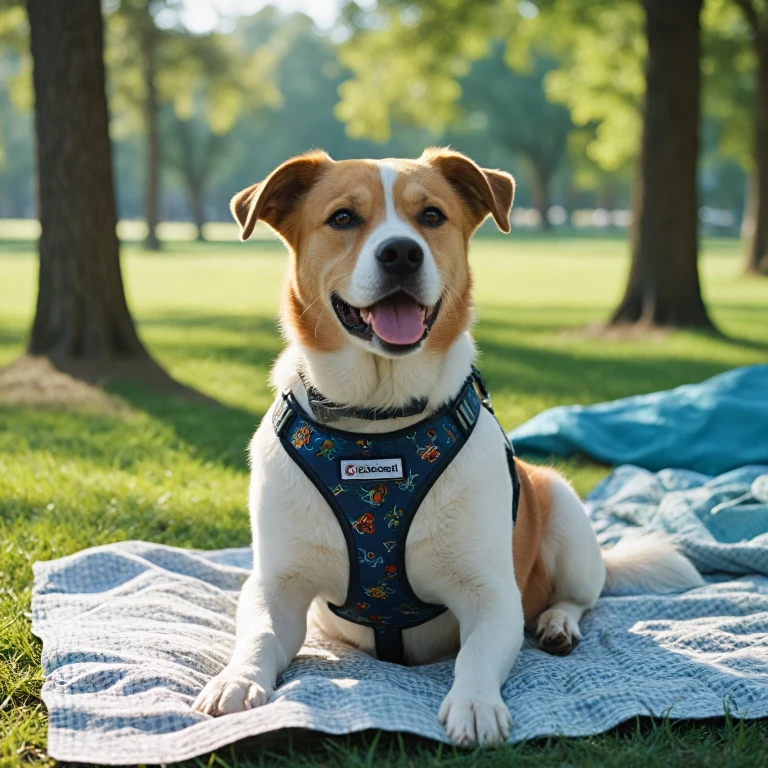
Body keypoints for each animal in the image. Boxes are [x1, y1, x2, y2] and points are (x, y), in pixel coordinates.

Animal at [192, 147, 704, 748]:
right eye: (343, 217)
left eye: (431, 215)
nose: (401, 252)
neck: (377, 425)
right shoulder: (277, 586)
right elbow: (259, 634)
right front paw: (237, 679)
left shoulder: (492, 594)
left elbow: (476, 653)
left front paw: (475, 703)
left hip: (565, 512)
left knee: (580, 597)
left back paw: (557, 624)